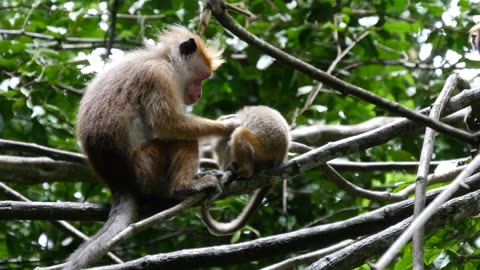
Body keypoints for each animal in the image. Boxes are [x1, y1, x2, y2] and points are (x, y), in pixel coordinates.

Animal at [65, 25, 238, 270]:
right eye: (203, 77)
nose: (199, 94)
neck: (164, 59)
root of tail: (120, 182)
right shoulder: (158, 77)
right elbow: (166, 124)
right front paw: (226, 126)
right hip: (147, 168)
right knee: (183, 139)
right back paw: (184, 187)